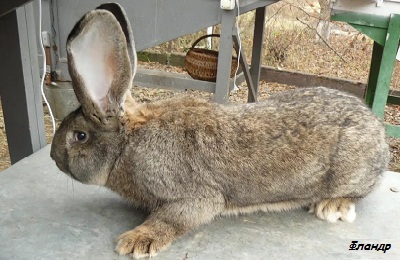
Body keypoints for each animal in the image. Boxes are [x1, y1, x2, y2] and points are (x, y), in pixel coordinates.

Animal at [49, 3, 388, 258]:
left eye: (80, 136)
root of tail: (378, 132)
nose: (53, 157)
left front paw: (135, 240)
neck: (128, 143)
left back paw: (333, 206)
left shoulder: (196, 196)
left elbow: (176, 217)